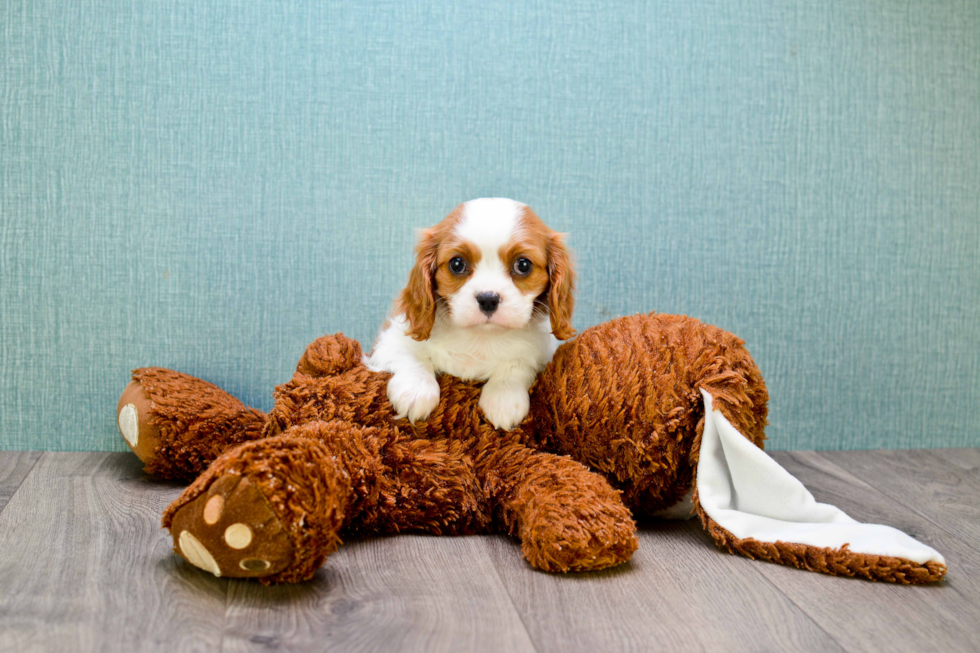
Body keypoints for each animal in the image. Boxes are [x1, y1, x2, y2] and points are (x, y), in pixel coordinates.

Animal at [364, 200, 572, 432]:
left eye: (523, 265)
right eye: (457, 264)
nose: (488, 299)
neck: (480, 336)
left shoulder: (540, 354)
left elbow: (517, 365)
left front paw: (504, 399)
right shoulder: (389, 341)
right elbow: (412, 357)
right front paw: (415, 390)